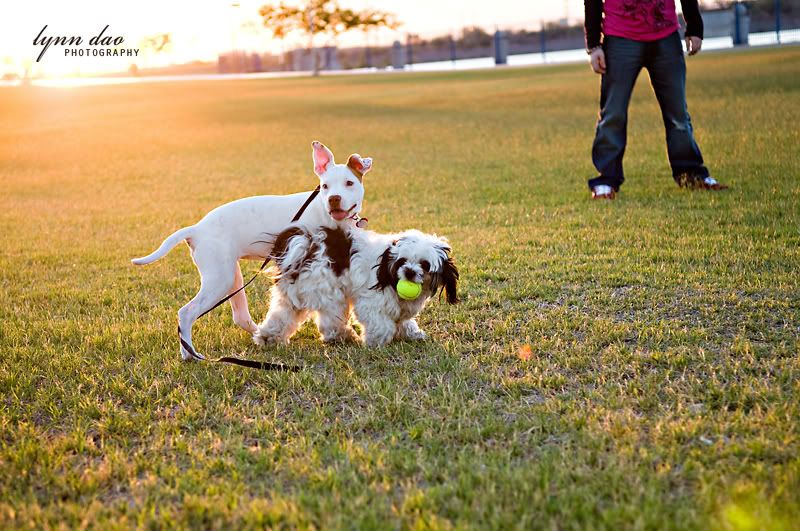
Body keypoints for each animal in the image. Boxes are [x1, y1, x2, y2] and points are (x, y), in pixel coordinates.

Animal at [253, 227, 460, 348]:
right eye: (402, 261)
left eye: (424, 264)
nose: (409, 272)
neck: (386, 269)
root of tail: (306, 246)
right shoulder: (371, 301)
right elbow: (381, 324)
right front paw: (376, 341)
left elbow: (403, 321)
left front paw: (412, 333)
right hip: (330, 294)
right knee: (331, 322)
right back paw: (343, 336)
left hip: (293, 295)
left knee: (281, 316)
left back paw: (268, 337)